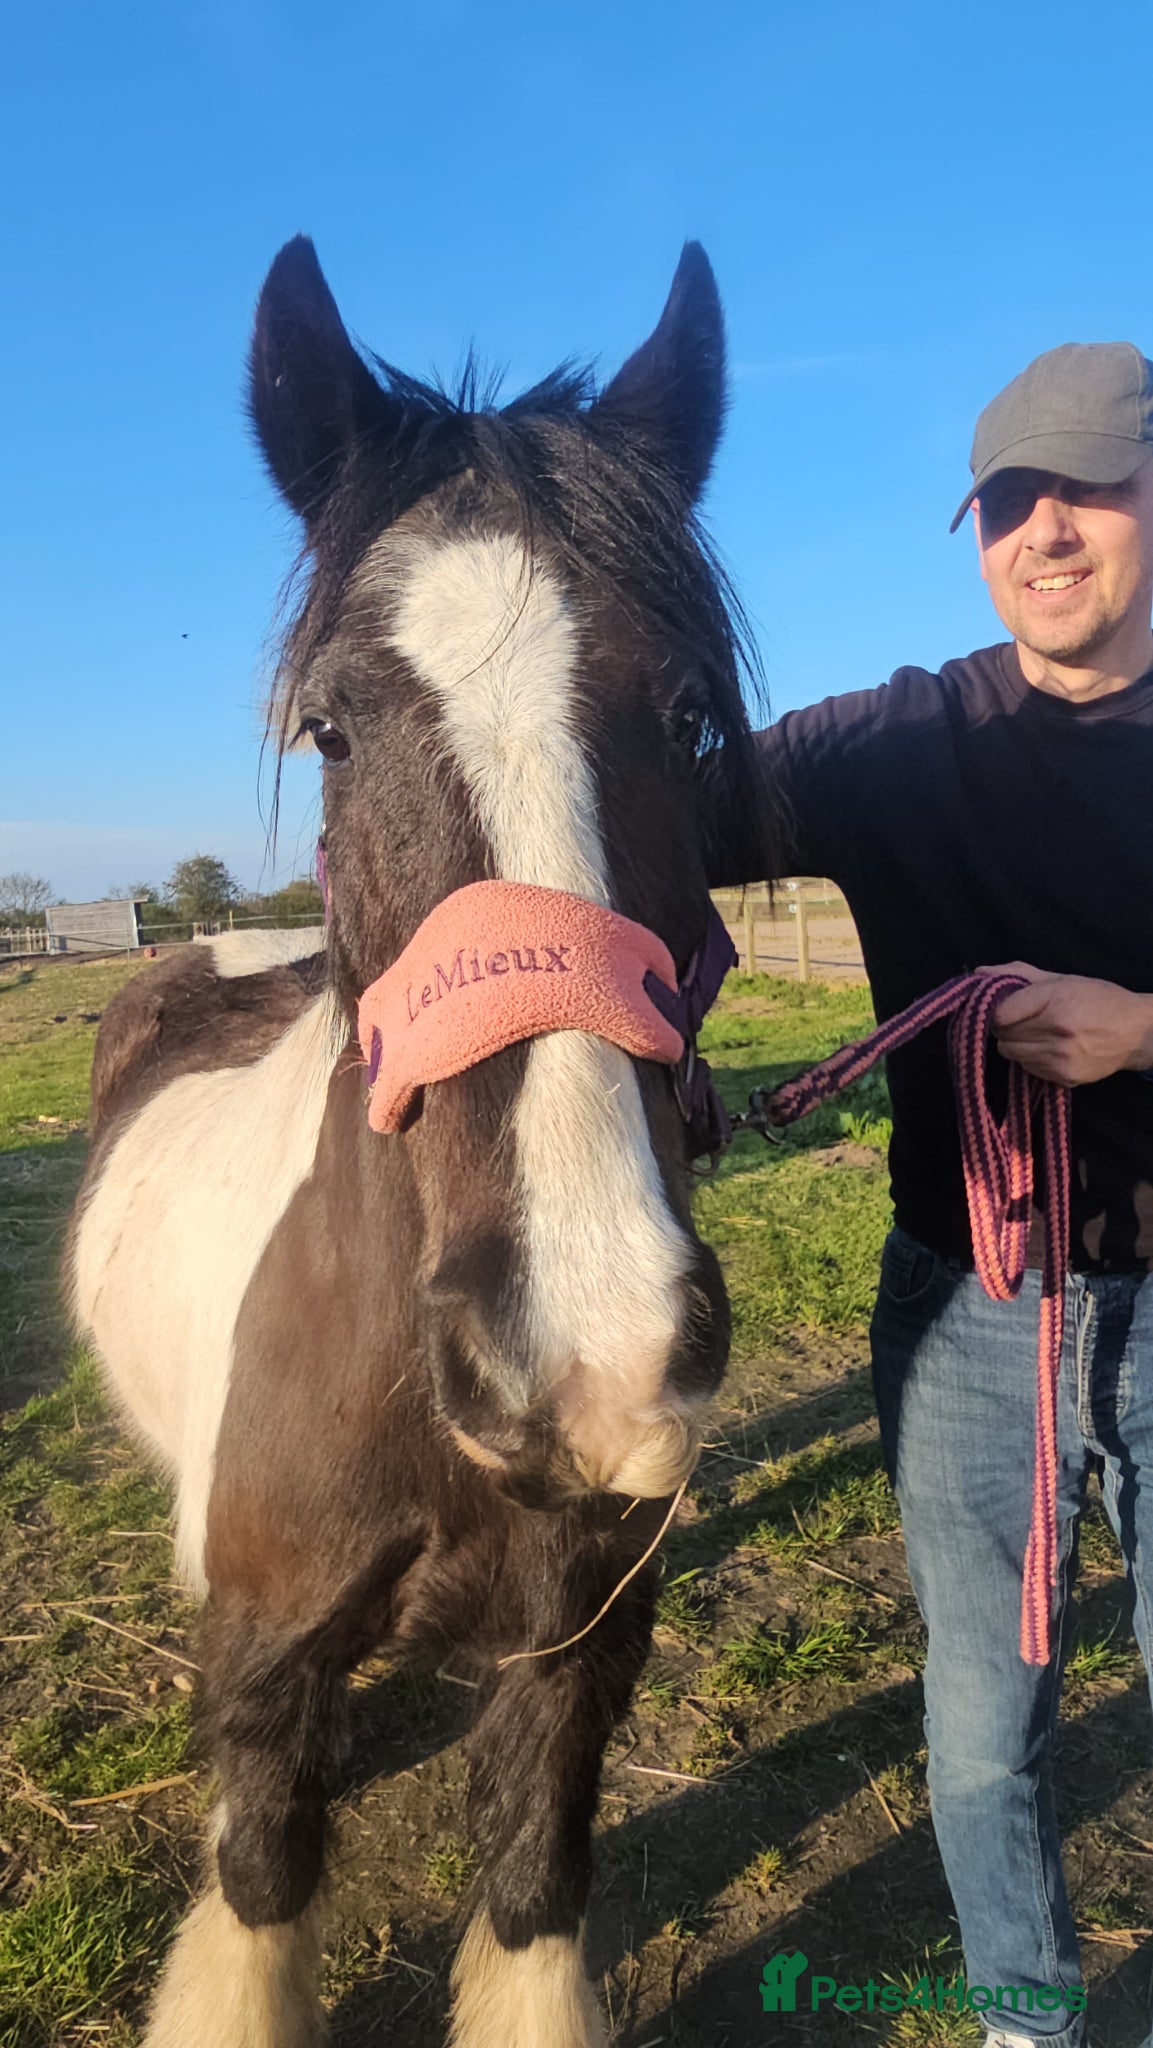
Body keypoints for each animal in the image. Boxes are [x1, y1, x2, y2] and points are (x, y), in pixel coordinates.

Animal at [68, 235, 772, 2048]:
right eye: (328, 726)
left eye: (691, 718)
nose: (587, 1351)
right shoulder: (262, 1686)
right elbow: (255, 1895)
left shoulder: (572, 1661)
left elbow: (528, 1896)